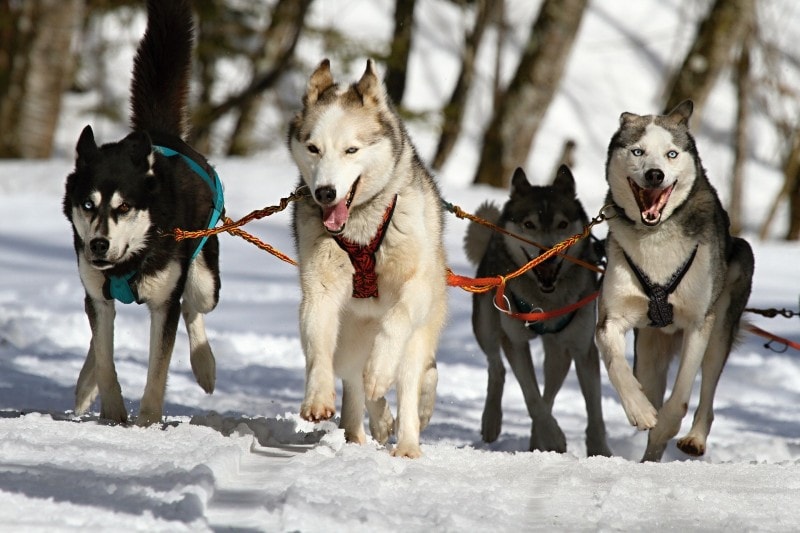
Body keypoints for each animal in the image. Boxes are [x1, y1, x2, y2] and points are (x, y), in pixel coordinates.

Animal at [62, 0, 222, 424]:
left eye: (124, 206)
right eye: (88, 204)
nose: (99, 245)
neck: (129, 261)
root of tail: (161, 135)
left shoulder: (163, 304)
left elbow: (158, 369)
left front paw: (147, 421)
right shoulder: (98, 294)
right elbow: (105, 357)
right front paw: (113, 413)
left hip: (204, 281)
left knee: (193, 307)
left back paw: (205, 366)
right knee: (96, 336)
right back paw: (85, 385)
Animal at [290, 59, 450, 458]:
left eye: (351, 150)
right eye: (313, 148)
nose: (325, 192)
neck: (361, 228)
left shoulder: (415, 288)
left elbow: (396, 321)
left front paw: (380, 370)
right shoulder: (319, 290)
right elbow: (317, 347)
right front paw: (317, 397)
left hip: (419, 334)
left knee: (409, 380)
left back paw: (406, 443)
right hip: (348, 338)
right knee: (354, 381)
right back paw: (366, 427)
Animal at [466, 165, 608, 454]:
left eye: (562, 224)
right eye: (529, 224)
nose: (549, 253)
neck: (546, 300)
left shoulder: (582, 348)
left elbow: (594, 410)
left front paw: (600, 451)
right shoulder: (515, 342)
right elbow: (531, 397)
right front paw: (553, 437)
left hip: (559, 352)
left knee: (550, 391)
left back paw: (536, 440)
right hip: (486, 324)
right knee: (496, 368)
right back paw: (492, 421)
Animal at [592, 101, 756, 462]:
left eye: (671, 154)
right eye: (638, 151)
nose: (655, 174)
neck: (655, 237)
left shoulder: (698, 323)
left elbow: (680, 397)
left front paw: (666, 424)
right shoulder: (611, 319)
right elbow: (616, 366)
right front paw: (639, 410)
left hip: (721, 325)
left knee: (707, 392)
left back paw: (693, 438)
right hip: (649, 351)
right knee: (650, 383)